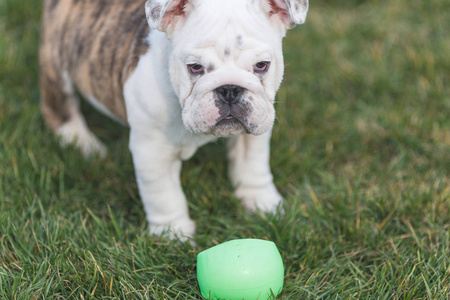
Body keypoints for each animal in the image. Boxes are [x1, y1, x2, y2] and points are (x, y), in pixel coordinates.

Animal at [40, 0, 308, 239]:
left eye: (262, 65)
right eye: (195, 67)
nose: (230, 89)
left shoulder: (256, 127)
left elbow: (252, 165)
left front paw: (263, 202)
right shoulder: (152, 152)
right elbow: (164, 195)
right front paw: (173, 233)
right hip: (56, 60)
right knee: (59, 105)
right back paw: (82, 142)